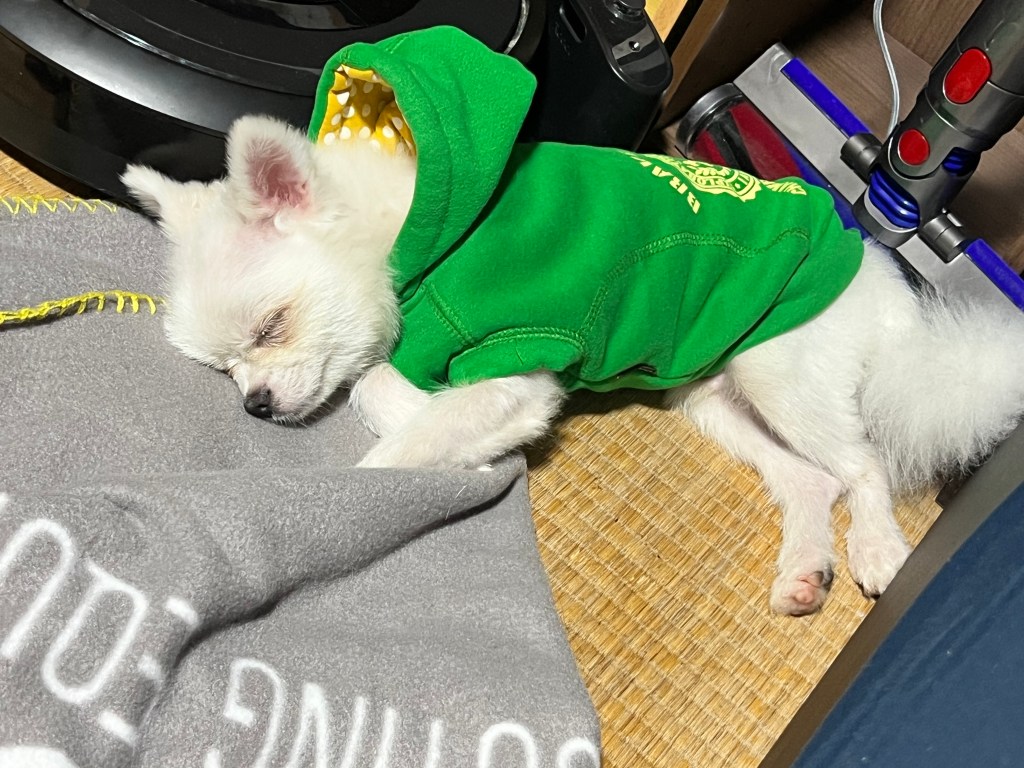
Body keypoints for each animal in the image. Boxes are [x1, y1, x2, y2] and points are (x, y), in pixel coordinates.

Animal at [122, 115, 1024, 616]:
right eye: (224, 372)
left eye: (272, 327)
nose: (256, 406)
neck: (417, 240)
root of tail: (894, 293)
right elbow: (386, 385)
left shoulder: (518, 358)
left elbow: (393, 426)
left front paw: (373, 480)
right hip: (713, 395)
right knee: (812, 479)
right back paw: (807, 569)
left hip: (781, 371)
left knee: (865, 465)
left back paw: (875, 548)